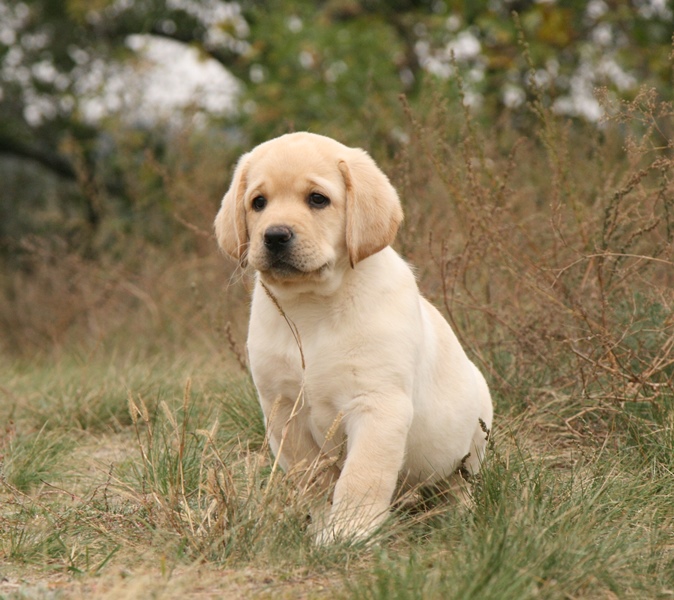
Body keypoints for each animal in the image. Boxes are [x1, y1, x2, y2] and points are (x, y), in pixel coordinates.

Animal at [214, 132, 493, 543]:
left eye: (317, 199)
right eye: (258, 203)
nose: (275, 235)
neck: (312, 306)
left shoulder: (378, 405)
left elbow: (361, 477)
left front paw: (348, 534)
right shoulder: (284, 410)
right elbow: (313, 477)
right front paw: (322, 525)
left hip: (473, 436)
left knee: (459, 485)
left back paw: (459, 513)